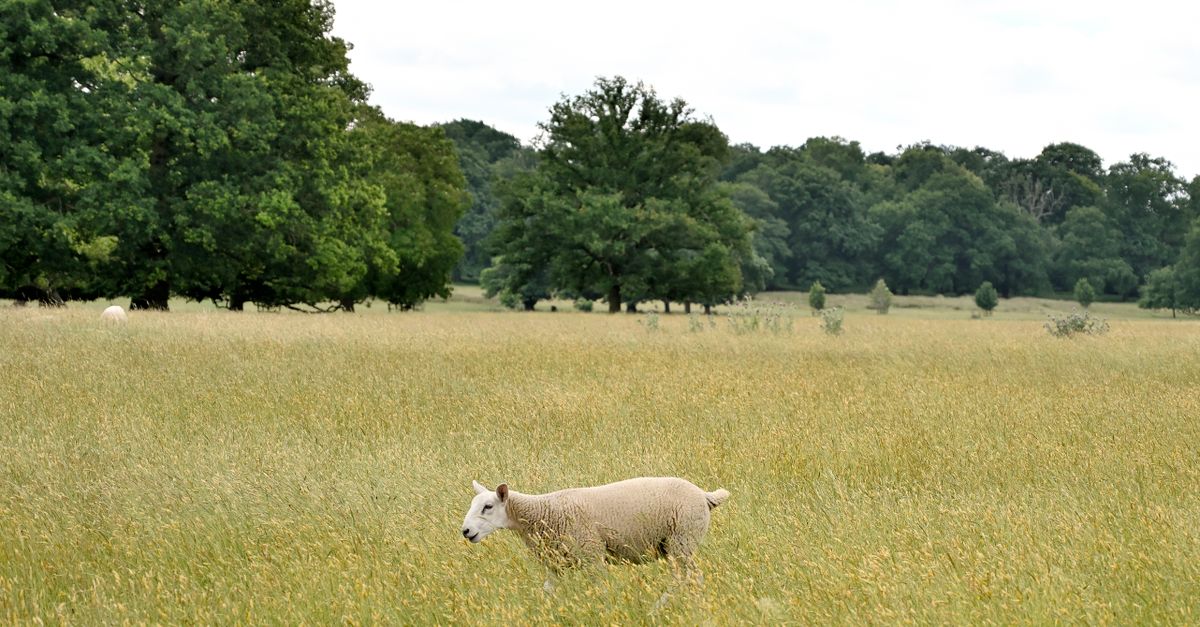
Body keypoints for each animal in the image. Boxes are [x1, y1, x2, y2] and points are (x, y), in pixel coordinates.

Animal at [461, 477, 730, 608]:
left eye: (488, 506)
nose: (465, 531)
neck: (543, 513)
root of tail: (705, 495)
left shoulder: (592, 556)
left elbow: (601, 589)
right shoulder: (556, 565)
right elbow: (546, 592)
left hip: (682, 540)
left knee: (690, 577)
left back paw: (662, 608)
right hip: (675, 544)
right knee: (686, 578)